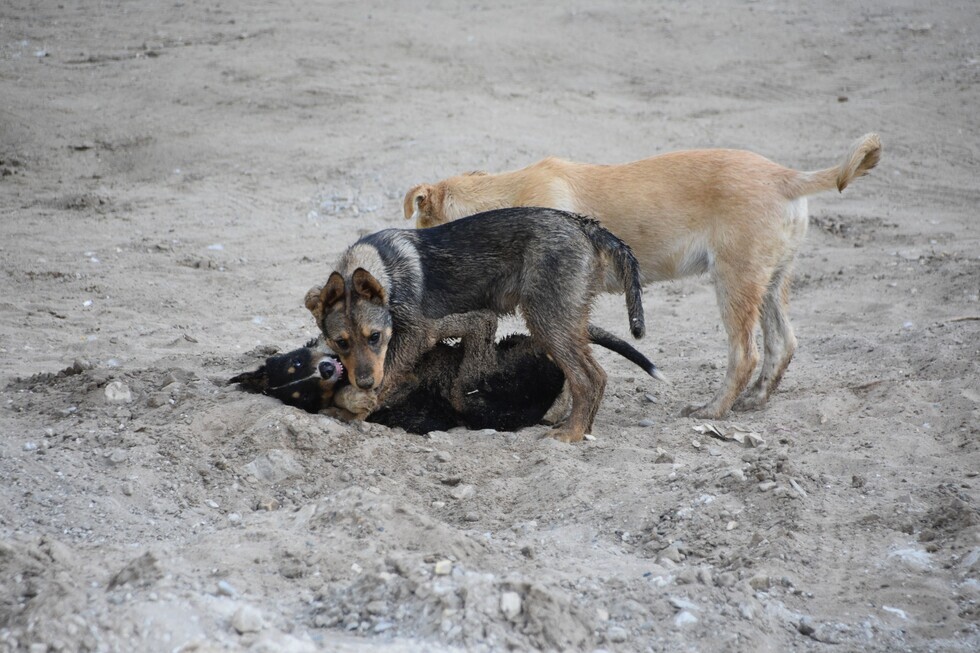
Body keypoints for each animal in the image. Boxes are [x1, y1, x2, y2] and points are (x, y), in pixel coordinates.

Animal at [302, 208, 664, 444]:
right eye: (341, 343)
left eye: (375, 337)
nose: (362, 381)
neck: (379, 268)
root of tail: (582, 224)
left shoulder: (417, 334)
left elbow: (384, 380)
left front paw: (353, 410)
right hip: (567, 321)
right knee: (595, 375)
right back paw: (583, 429)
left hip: (547, 321)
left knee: (588, 378)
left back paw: (571, 434)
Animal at [402, 134, 884, 418]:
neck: (507, 196)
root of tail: (787, 178)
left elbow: (571, 367)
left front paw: (560, 416)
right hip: (770, 281)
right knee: (783, 343)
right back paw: (754, 401)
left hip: (735, 281)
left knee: (745, 354)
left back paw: (712, 410)